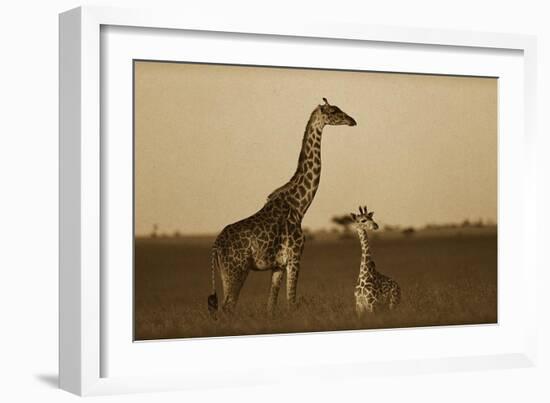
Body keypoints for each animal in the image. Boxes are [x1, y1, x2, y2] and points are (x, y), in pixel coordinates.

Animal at [208, 97, 358, 316]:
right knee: (227, 307)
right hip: (236, 271)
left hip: (225, 273)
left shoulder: (277, 265)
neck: (300, 206)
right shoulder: (295, 256)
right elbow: (291, 301)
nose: (352, 120)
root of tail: (215, 247)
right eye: (333, 111)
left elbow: (271, 305)